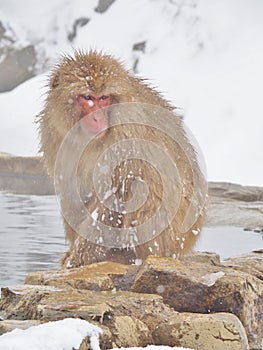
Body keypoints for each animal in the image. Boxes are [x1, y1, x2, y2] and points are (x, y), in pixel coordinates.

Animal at [37, 50, 208, 268]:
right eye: (87, 97)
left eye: (103, 98)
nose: (97, 118)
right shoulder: (54, 134)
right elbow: (71, 187)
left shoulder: (126, 134)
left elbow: (115, 193)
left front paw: (79, 258)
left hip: (177, 233)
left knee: (141, 184)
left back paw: (129, 256)